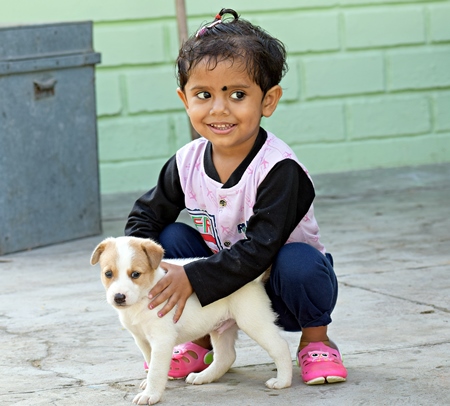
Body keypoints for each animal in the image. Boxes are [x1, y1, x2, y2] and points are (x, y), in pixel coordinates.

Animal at [90, 236, 294, 404]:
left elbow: (155, 369)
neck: (143, 297)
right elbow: (150, 362)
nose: (119, 297)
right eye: (108, 274)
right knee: (226, 356)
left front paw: (150, 395)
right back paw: (203, 376)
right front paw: (150, 386)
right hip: (221, 327)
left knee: (280, 346)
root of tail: (253, 279)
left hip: (253, 321)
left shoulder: (162, 339)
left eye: (135, 274)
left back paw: (282, 381)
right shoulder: (142, 339)